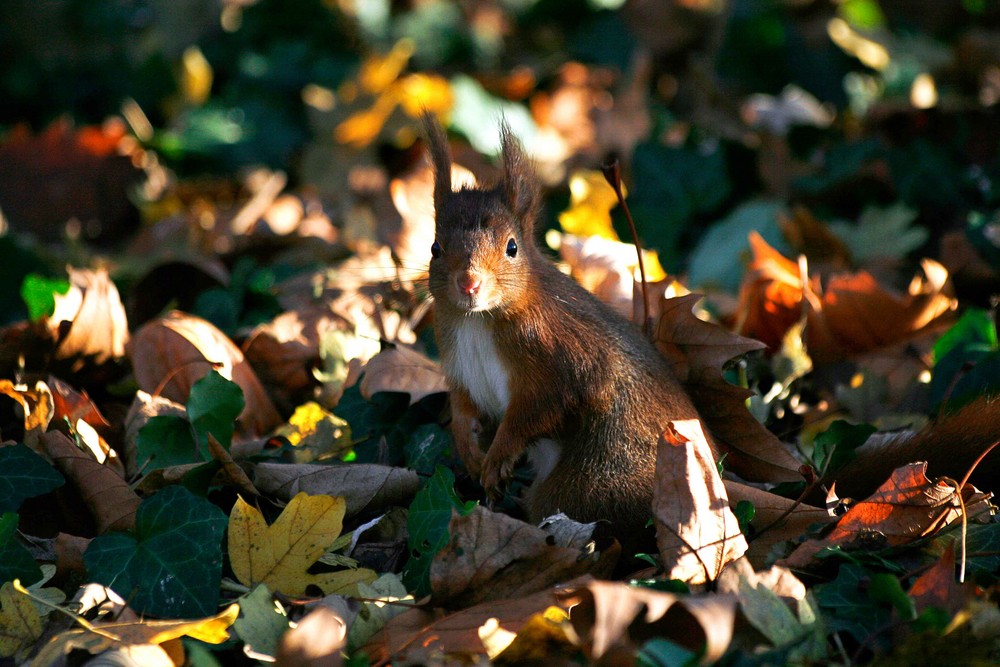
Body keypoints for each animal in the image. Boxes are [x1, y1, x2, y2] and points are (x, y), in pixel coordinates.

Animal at [422, 116, 712, 544]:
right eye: (435, 249)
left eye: (512, 247)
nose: (469, 284)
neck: (479, 320)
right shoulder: (457, 364)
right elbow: (462, 407)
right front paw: (469, 449)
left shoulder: (566, 357)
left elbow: (538, 410)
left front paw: (497, 456)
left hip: (596, 480)